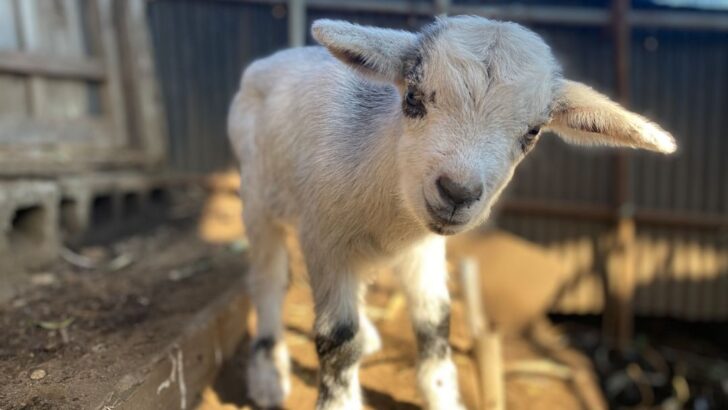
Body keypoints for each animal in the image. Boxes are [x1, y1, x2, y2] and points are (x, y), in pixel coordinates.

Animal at [227, 16, 675, 410]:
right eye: (412, 97)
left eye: (532, 132)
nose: (458, 192)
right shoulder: (326, 241)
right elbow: (338, 338)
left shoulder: (422, 249)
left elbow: (435, 321)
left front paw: (443, 396)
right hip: (257, 196)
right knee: (268, 279)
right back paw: (267, 374)